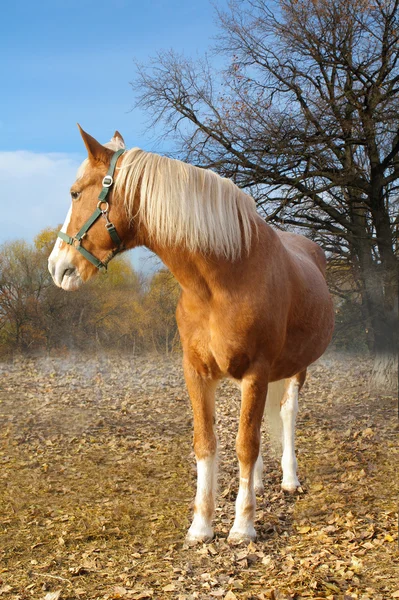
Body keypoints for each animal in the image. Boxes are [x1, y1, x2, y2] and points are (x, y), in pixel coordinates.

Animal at [48, 126, 336, 544]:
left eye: (74, 193)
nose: (57, 267)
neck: (223, 279)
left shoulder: (257, 371)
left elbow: (245, 444)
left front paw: (243, 527)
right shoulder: (198, 371)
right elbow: (207, 443)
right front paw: (201, 525)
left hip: (296, 368)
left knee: (287, 414)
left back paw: (290, 479)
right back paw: (260, 482)